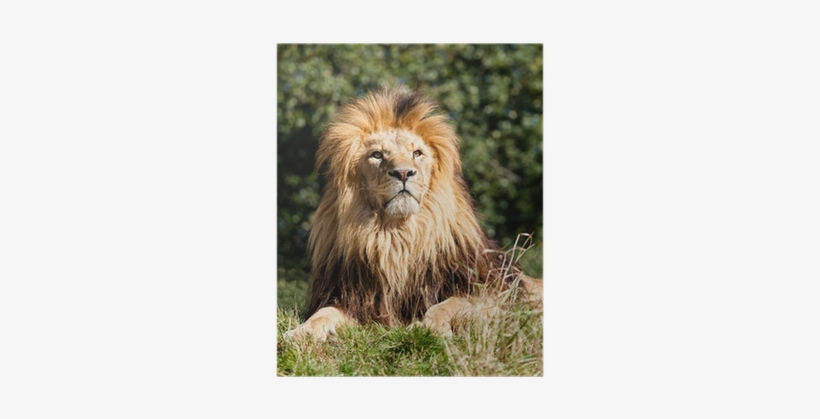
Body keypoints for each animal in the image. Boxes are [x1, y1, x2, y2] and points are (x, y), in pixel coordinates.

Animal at [283, 87, 542, 341]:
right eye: (377, 155)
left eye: (417, 153)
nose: (403, 172)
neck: (398, 237)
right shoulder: (353, 298)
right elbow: (324, 312)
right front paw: (303, 331)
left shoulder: (490, 292)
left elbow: (445, 305)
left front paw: (429, 328)